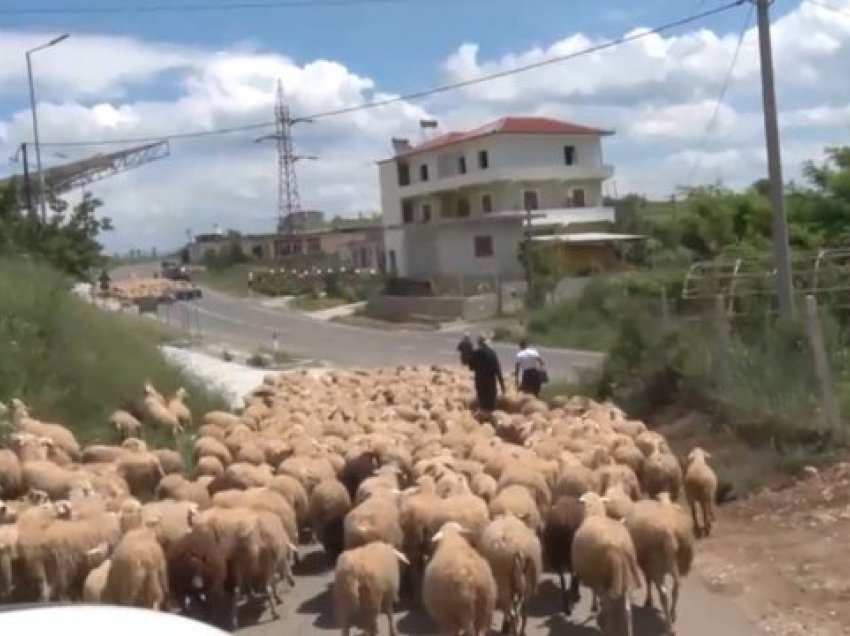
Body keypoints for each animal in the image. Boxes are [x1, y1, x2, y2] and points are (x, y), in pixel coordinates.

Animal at [572, 492, 640, 636]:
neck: (595, 513)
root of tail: (619, 546)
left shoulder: (593, 576)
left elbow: (594, 592)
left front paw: (594, 607)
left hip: (605, 577)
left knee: (608, 607)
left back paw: (604, 625)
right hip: (627, 576)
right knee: (627, 611)